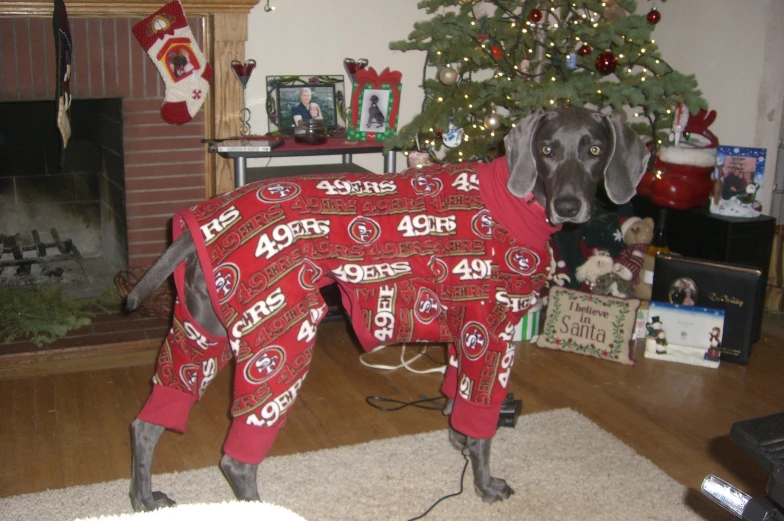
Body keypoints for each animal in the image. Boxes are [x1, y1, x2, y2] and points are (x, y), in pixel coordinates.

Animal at [125, 107, 648, 510]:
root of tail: (202, 223)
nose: (570, 206)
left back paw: (144, 499)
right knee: (237, 458)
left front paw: (457, 441)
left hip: (200, 335)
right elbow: (482, 425)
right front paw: (484, 484)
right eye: (548, 150)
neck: (515, 199)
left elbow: (455, 399)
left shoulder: (464, 333)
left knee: (148, 421)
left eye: (594, 151)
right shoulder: (492, 333)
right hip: (280, 340)